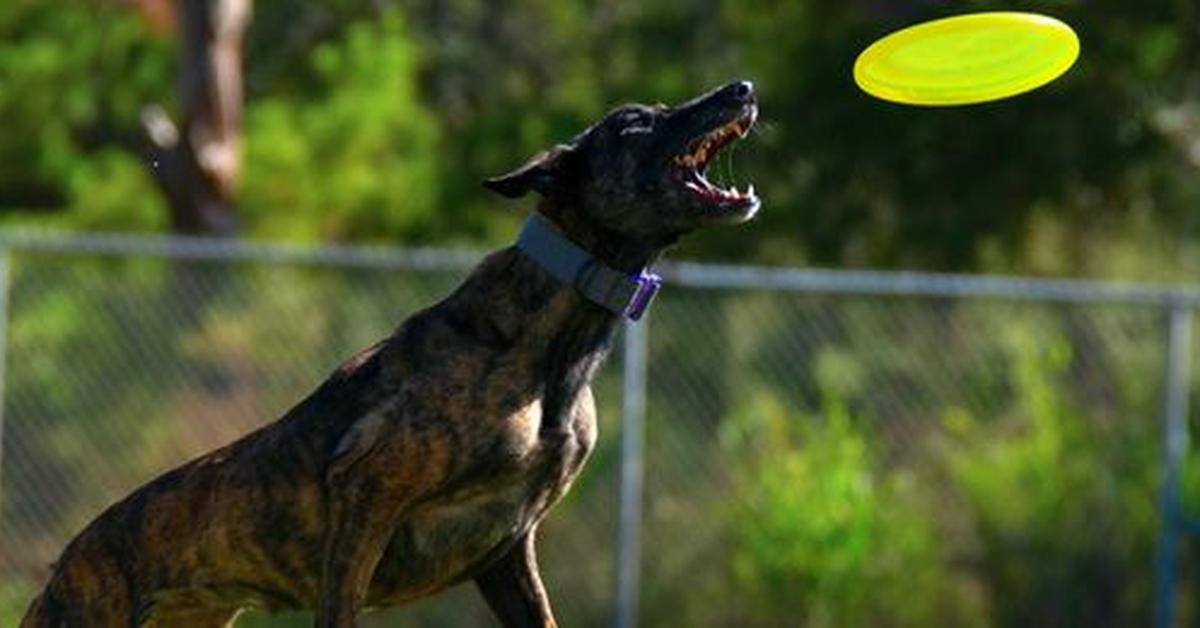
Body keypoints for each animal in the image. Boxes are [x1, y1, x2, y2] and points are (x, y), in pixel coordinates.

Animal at [23, 79, 758, 628]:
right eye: (635, 123)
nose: (742, 88)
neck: (550, 342)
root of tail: (60, 570)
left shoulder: (507, 552)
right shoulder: (367, 496)